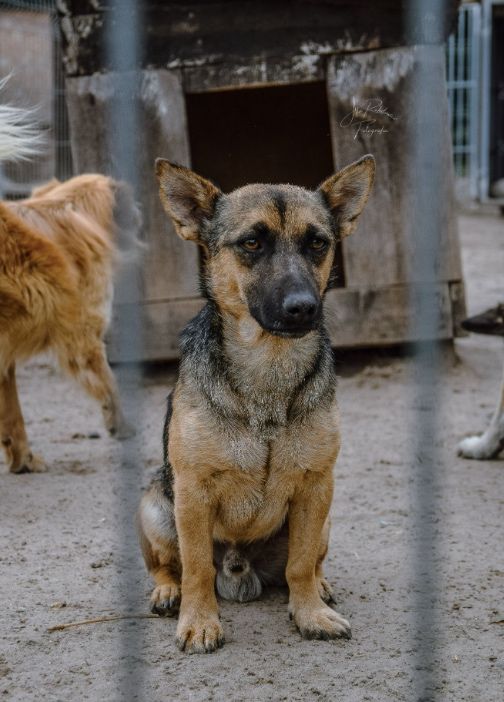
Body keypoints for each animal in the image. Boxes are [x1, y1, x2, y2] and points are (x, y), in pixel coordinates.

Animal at [0, 108, 140, 472]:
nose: (142, 215)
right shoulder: (84, 338)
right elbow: (111, 385)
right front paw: (121, 425)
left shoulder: (5, 359)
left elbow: (12, 415)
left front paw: (22, 458)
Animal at [137, 155, 374, 656]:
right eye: (251, 242)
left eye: (317, 243)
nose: (303, 308)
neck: (268, 367)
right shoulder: (192, 492)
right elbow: (197, 567)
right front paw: (199, 621)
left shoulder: (316, 486)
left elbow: (299, 565)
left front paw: (309, 613)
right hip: (155, 507)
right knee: (170, 565)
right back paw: (167, 591)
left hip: (324, 519)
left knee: (307, 562)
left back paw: (320, 587)